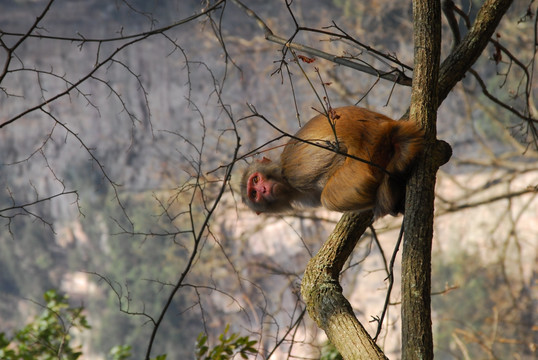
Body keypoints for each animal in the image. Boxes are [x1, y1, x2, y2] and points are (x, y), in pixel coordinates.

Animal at [240, 106, 422, 219]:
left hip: (371, 148)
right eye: (254, 193)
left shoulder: (296, 172)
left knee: (328, 197)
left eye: (256, 179)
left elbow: (335, 153)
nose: (263, 189)